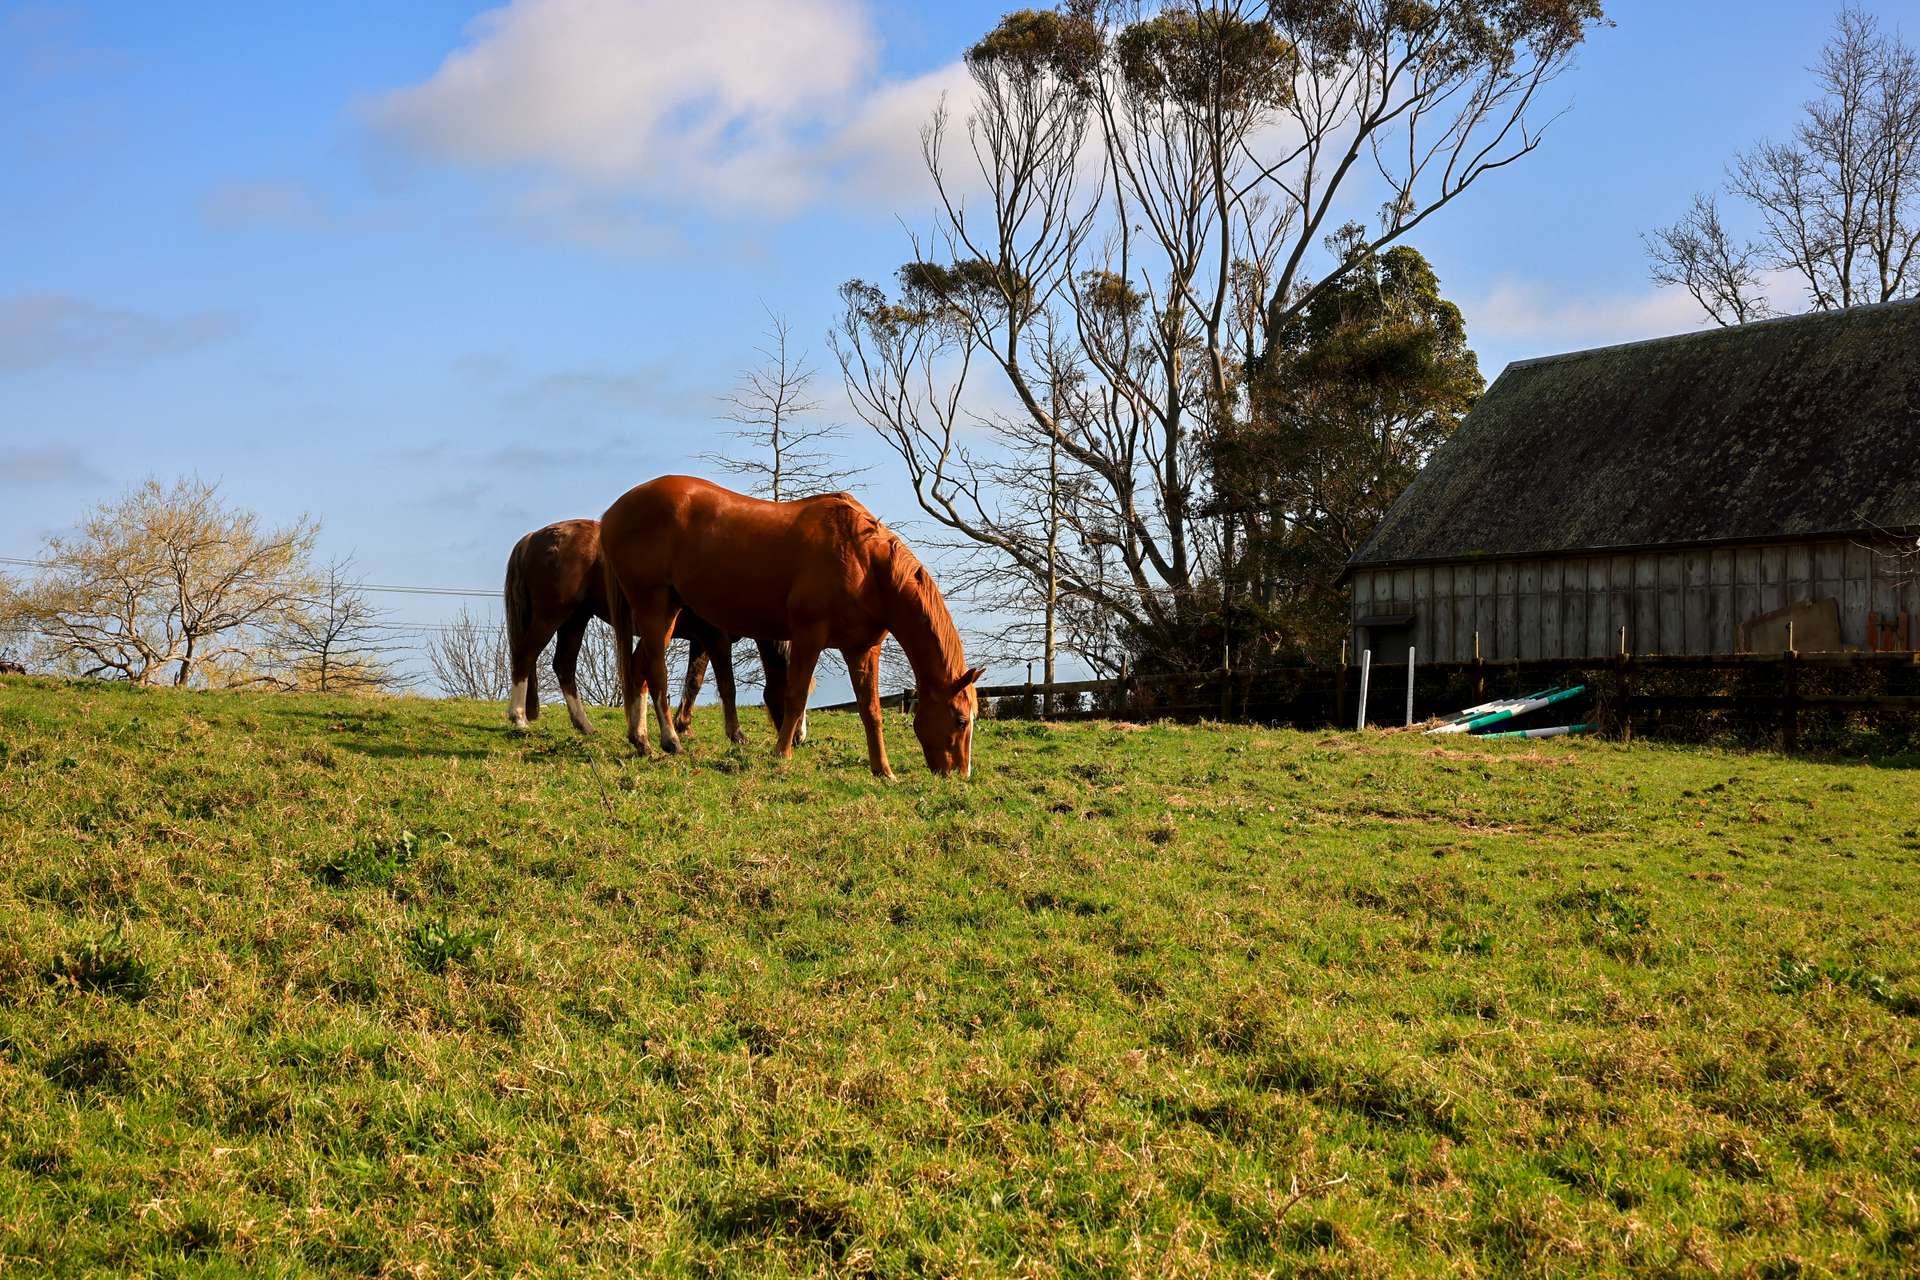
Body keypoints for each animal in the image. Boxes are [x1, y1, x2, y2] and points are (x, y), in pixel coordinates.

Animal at [503, 518, 794, 740]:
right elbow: (727, 684)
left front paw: (683, 725)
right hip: (550, 617)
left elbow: (694, 681)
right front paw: (736, 734)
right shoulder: (715, 637)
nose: (798, 738)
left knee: (563, 666)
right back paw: (519, 718)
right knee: (524, 656)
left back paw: (584, 725)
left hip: (575, 619)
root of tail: (533, 538)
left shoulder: (700, 640)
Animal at [595, 475, 990, 782]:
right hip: (654, 607)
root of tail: (613, 512)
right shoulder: (807, 637)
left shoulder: (862, 649)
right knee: (655, 672)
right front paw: (782, 754)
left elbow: (870, 710)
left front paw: (883, 771)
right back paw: (669, 741)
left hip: (668, 610)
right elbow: (795, 695)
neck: (865, 563)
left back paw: (642, 741)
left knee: (638, 670)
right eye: (960, 720)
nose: (959, 775)